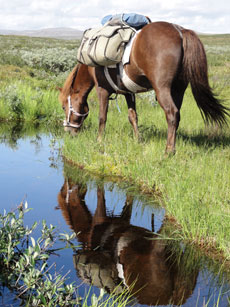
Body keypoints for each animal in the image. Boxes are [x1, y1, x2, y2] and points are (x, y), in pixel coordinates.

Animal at [57, 178, 198, 306]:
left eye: (63, 190)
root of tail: (172, 298)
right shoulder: (124, 218)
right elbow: (129, 200)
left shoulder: (100, 216)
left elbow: (100, 192)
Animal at [58, 21, 229, 154]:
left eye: (64, 107)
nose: (68, 130)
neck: (91, 67)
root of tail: (180, 31)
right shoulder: (128, 92)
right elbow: (133, 116)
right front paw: (138, 139)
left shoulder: (103, 90)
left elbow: (102, 117)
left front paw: (99, 140)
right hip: (178, 89)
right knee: (177, 115)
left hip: (162, 89)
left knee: (171, 113)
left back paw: (169, 151)